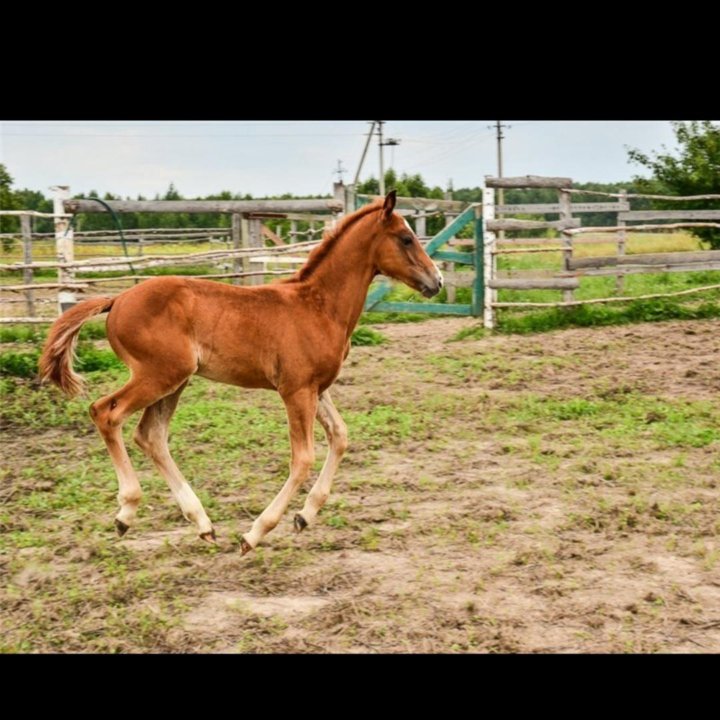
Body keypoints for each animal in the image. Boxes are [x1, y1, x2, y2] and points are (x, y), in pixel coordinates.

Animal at [40, 190, 444, 552]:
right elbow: (303, 458)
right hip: (158, 375)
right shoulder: (296, 390)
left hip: (174, 381)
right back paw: (126, 512)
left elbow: (341, 436)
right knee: (106, 413)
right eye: (406, 238)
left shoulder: (318, 388)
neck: (318, 305)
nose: (436, 281)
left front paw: (304, 516)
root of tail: (117, 298)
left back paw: (202, 523)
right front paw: (255, 533)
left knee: (150, 436)